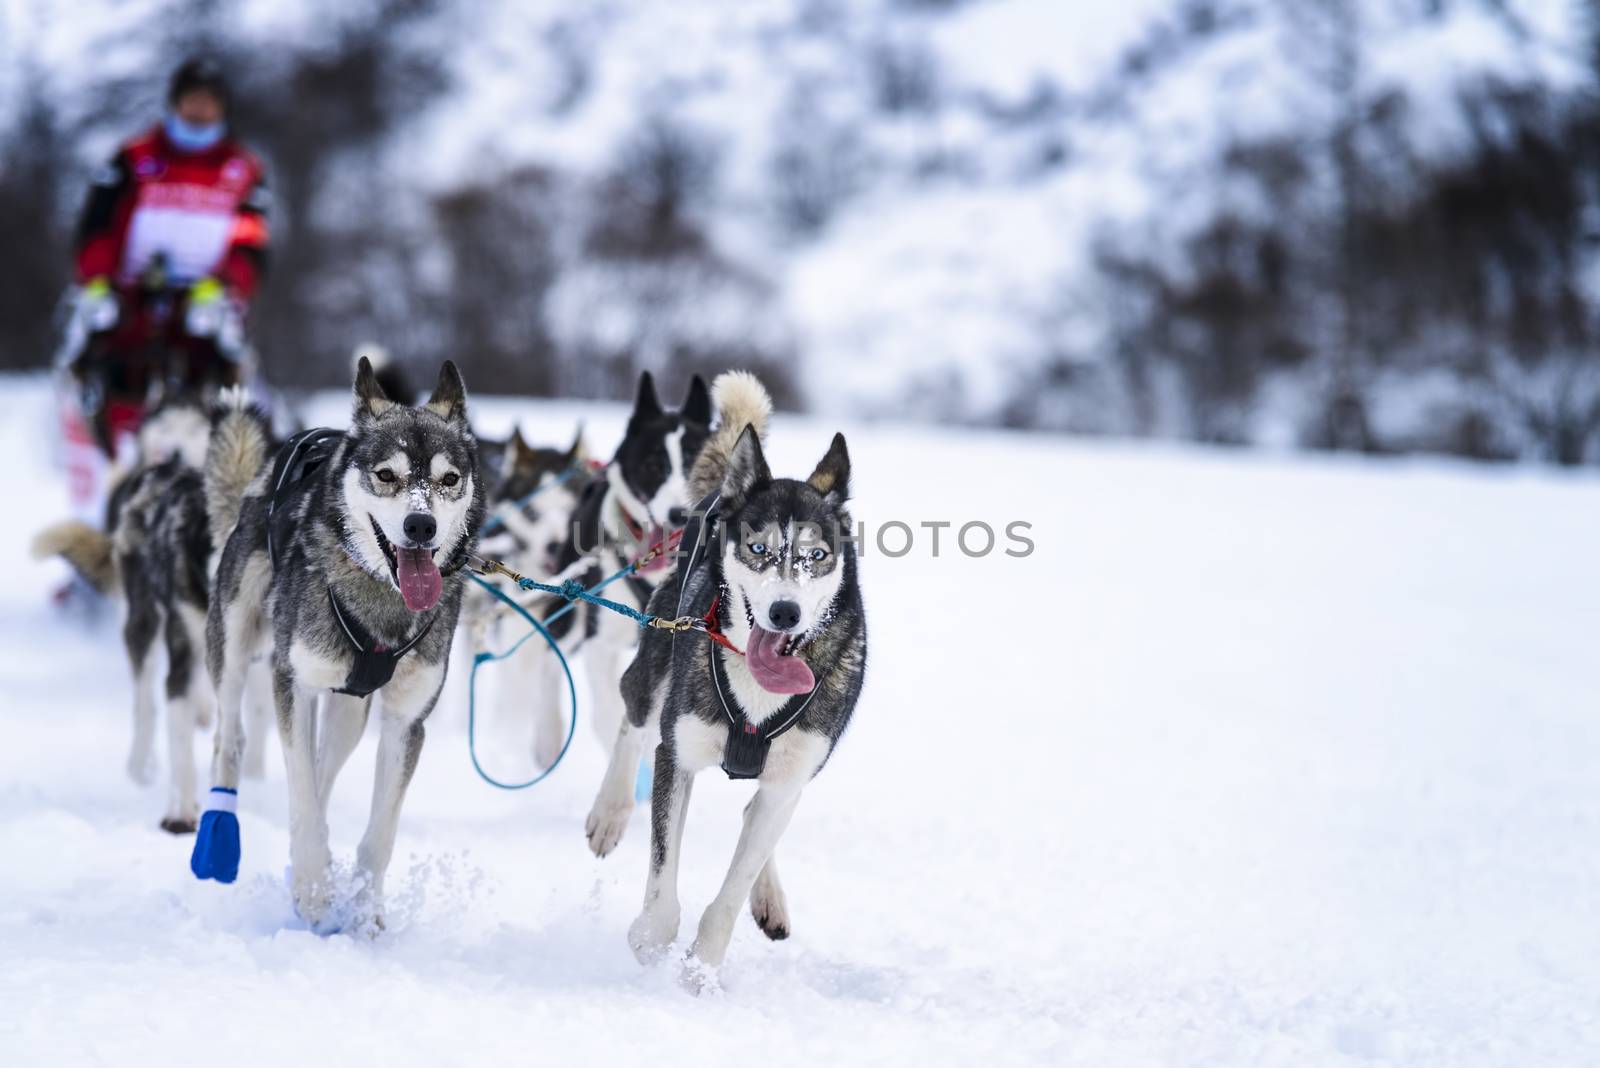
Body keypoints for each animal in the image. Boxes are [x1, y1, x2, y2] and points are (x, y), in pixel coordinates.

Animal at [31, 396, 270, 831]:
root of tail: (162, 472)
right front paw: (182, 812)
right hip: (142, 625)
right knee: (144, 703)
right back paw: (140, 766)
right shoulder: (183, 659)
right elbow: (180, 741)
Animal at [194, 358, 480, 927]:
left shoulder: (405, 720)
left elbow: (379, 831)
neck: (383, 599)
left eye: (449, 479)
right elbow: (301, 793)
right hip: (234, 644)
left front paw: (365, 911)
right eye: (386, 475)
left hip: (352, 710)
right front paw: (312, 888)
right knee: (232, 740)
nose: (421, 525)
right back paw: (222, 837)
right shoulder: (293, 683)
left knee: (326, 761)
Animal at [512, 374, 713, 767]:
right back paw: (548, 737)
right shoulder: (600, 640)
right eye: (653, 466)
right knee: (551, 657)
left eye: (699, 463)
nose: (679, 515)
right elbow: (609, 715)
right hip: (571, 608)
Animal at [592, 374, 864, 984]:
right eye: (759, 549)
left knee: (755, 818)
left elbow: (732, 889)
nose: (785, 612)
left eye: (816, 555)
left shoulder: (788, 781)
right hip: (653, 669)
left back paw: (770, 897)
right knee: (631, 719)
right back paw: (610, 811)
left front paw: (701, 970)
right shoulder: (679, 755)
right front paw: (652, 941)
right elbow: (663, 874)